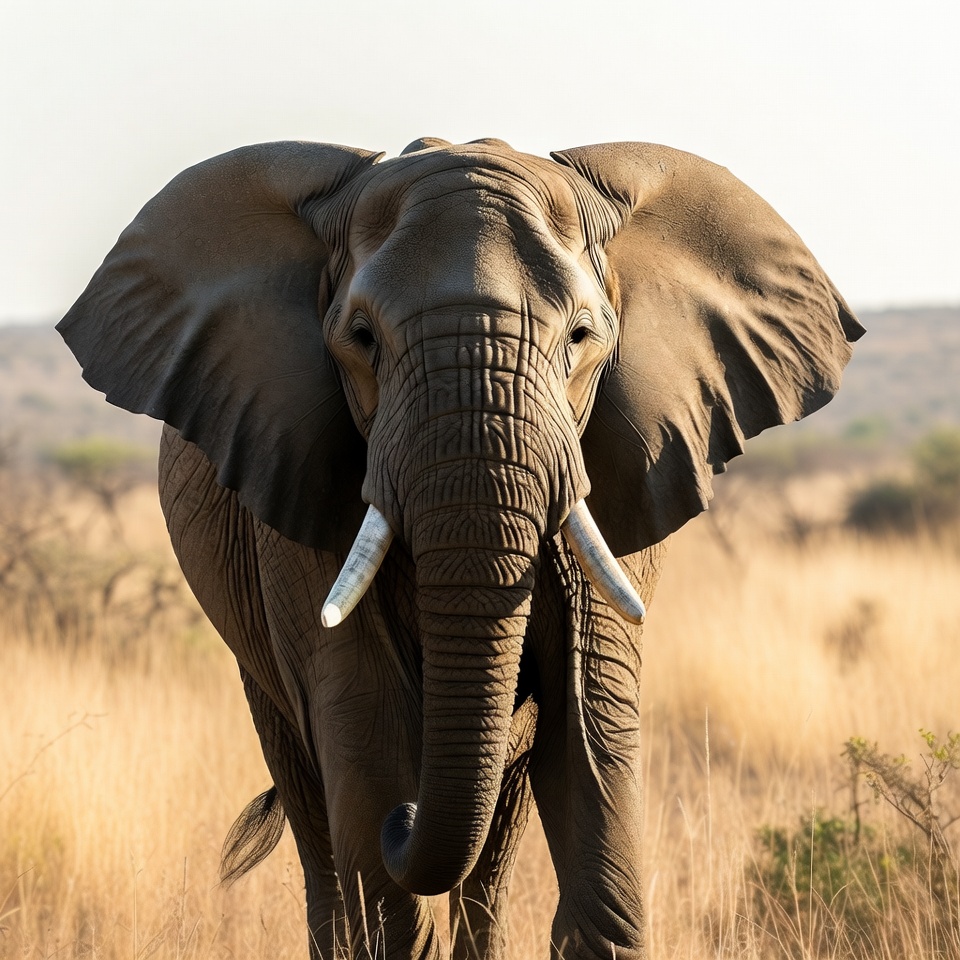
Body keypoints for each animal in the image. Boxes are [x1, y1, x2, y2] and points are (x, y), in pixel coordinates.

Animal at [57, 136, 862, 959]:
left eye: (582, 336)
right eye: (361, 338)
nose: (406, 818)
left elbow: (592, 729)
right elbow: (365, 725)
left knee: (495, 847)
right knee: (318, 818)